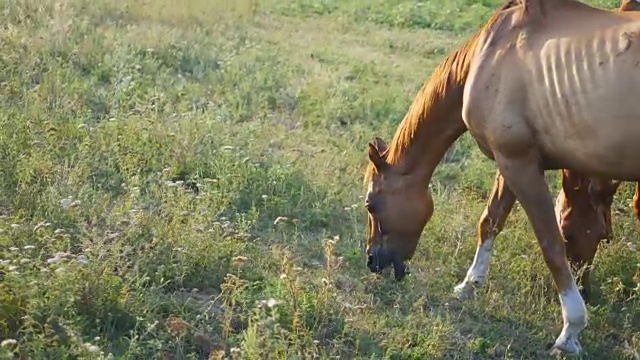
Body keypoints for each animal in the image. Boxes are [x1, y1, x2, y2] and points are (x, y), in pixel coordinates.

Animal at [362, 0, 640, 354]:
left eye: (371, 205)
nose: (372, 261)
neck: (491, 53)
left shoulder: (518, 163)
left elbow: (551, 245)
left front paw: (571, 331)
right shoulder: (512, 162)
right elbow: (490, 221)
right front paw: (469, 285)